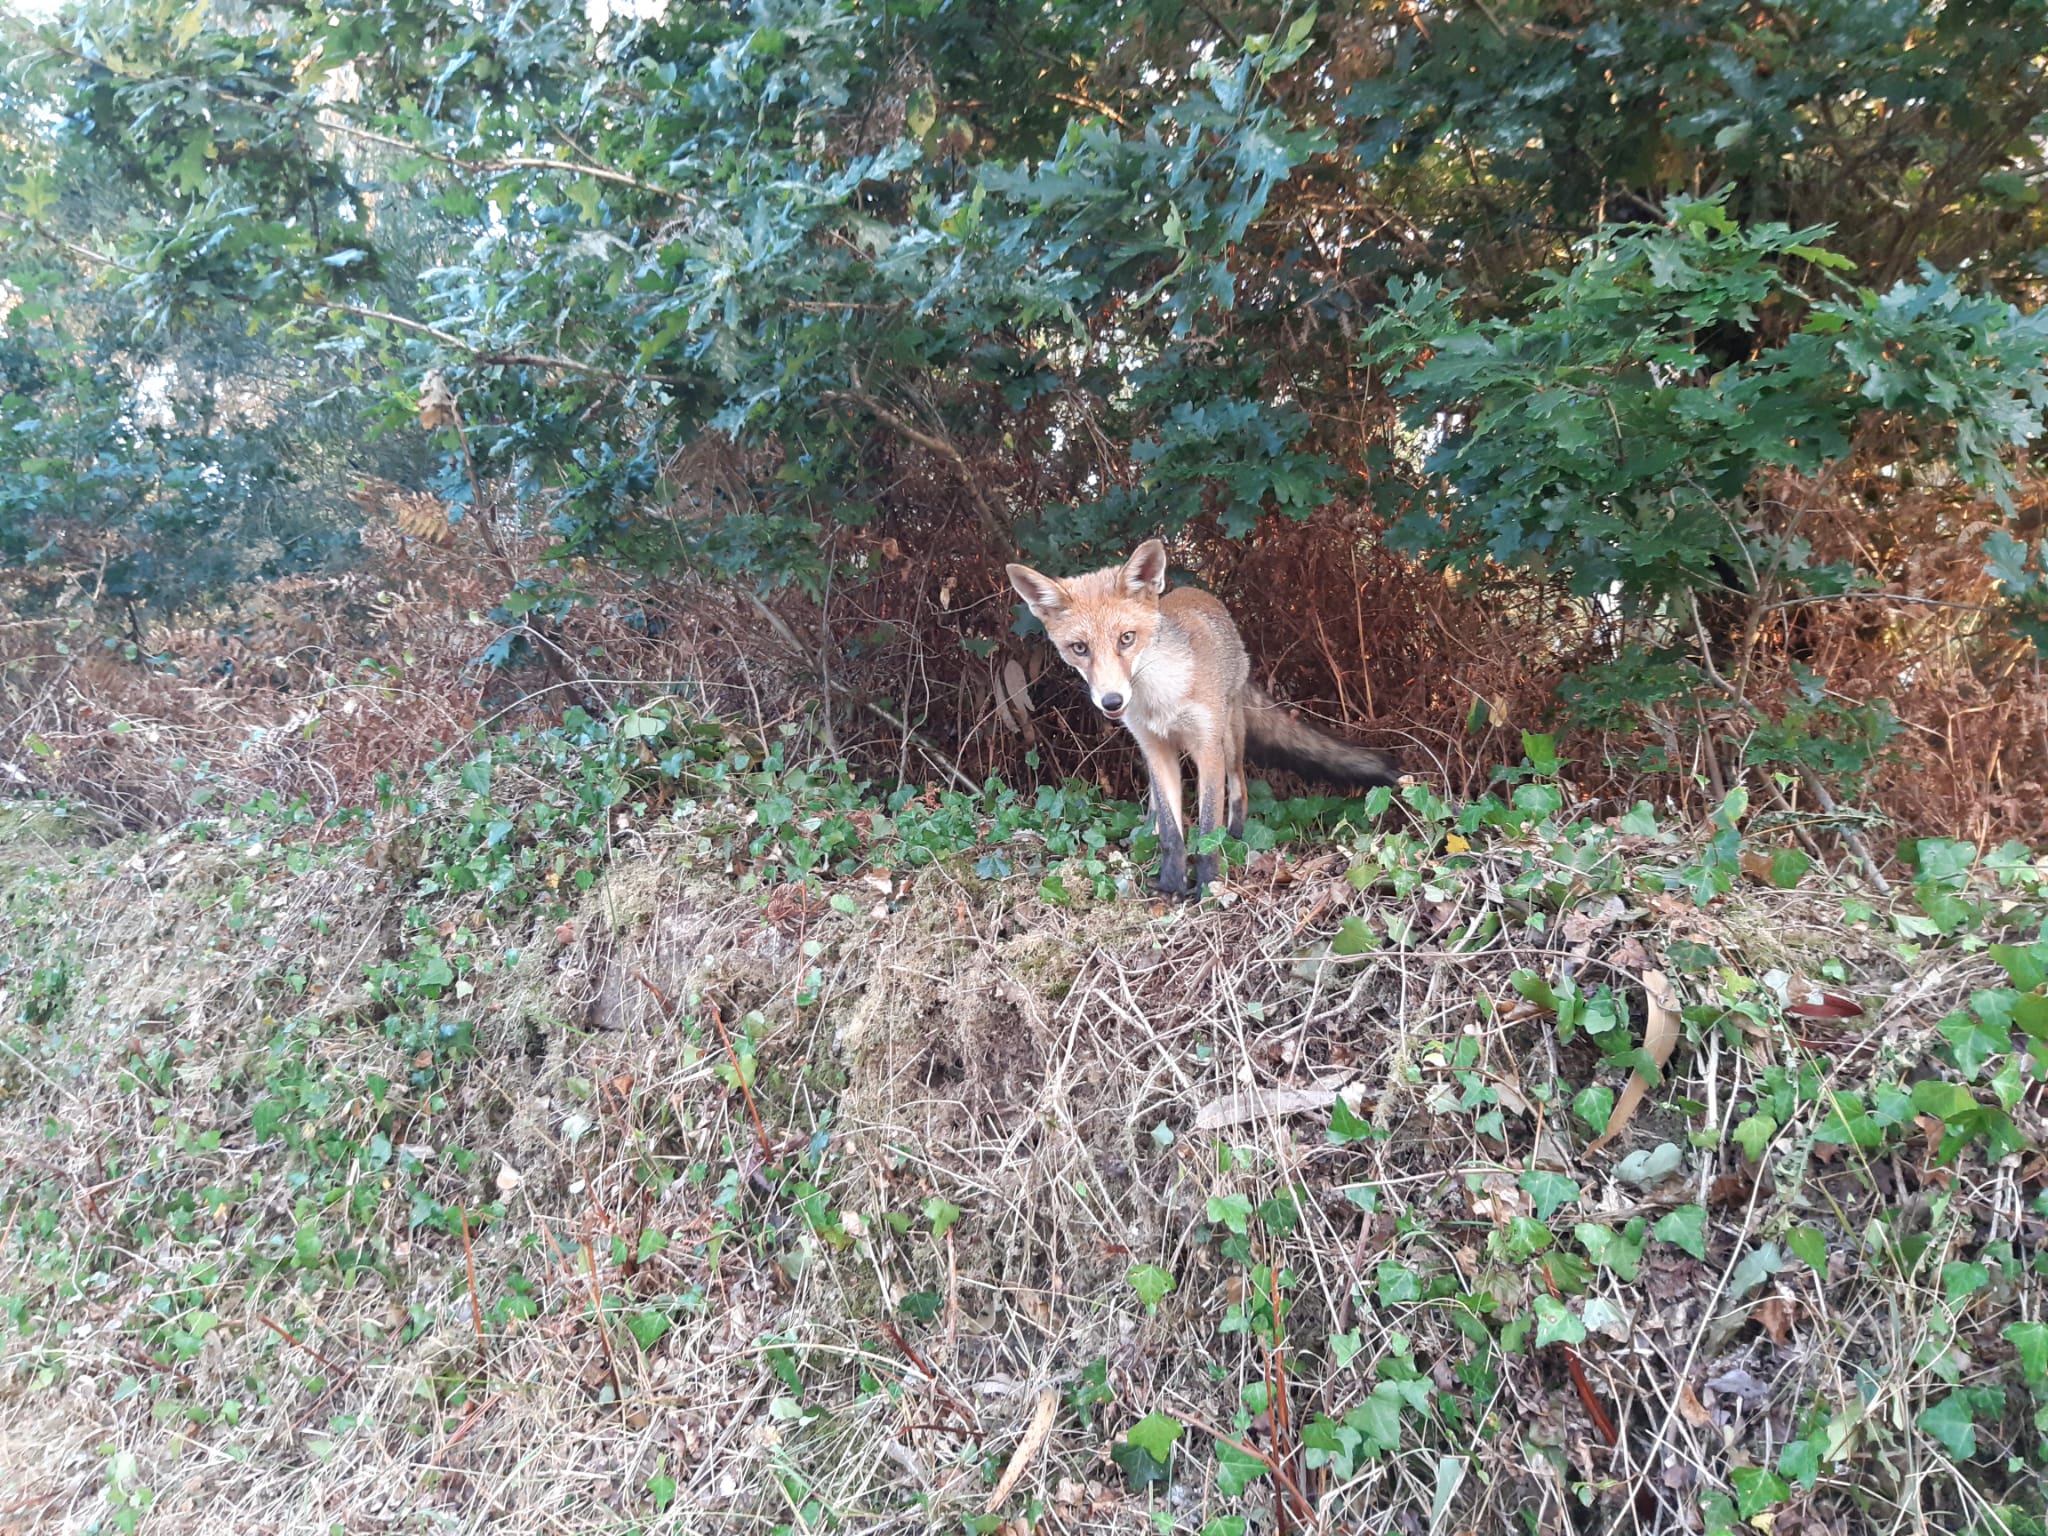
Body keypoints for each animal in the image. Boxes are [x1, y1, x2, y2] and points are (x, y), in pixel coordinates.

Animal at [1006, 539, 1399, 897]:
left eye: (1126, 639)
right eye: (1080, 648)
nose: (1112, 701)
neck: (1161, 699)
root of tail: (1200, 594)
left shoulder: (1206, 747)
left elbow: (1208, 826)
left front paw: (1208, 884)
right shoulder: (1155, 747)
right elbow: (1171, 830)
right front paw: (1170, 883)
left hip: (1229, 739)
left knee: (1239, 789)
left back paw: (1236, 839)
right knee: (1157, 805)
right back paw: (1146, 831)